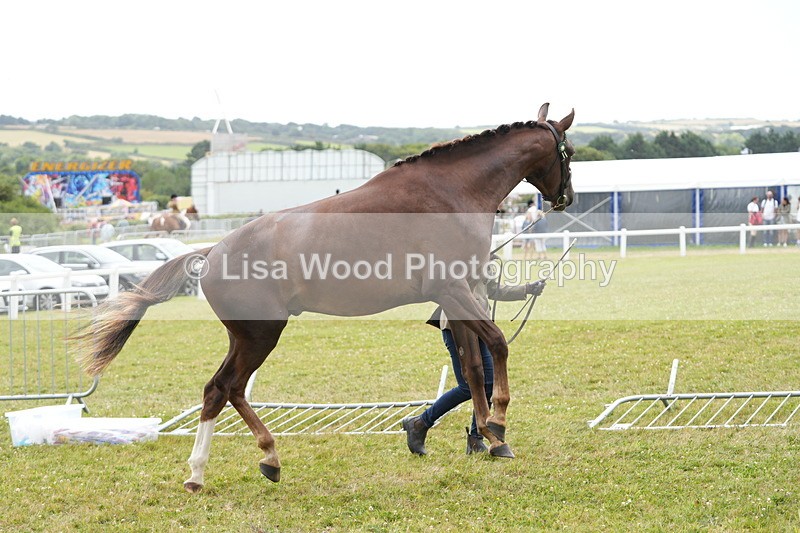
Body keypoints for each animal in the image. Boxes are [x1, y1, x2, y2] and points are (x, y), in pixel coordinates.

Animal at [76, 103, 575, 493]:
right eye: (566, 152)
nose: (566, 197)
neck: (450, 193)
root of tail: (212, 252)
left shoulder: (458, 296)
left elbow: (472, 368)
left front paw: (489, 437)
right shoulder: (455, 290)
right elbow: (498, 345)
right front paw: (500, 424)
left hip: (246, 337)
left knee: (218, 390)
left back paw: (214, 470)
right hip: (261, 335)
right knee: (226, 387)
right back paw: (257, 459)